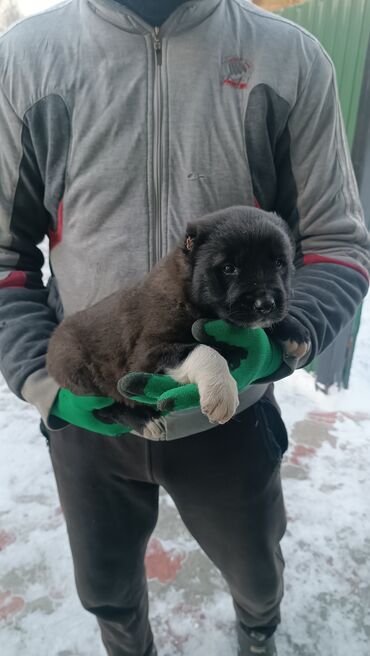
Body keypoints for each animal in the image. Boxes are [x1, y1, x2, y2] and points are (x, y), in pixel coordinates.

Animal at [47, 208, 310, 438]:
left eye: (279, 263)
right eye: (229, 268)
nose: (265, 304)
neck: (188, 290)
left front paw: (294, 330)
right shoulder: (147, 353)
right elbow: (203, 350)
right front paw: (221, 390)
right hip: (81, 373)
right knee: (102, 409)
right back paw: (145, 421)